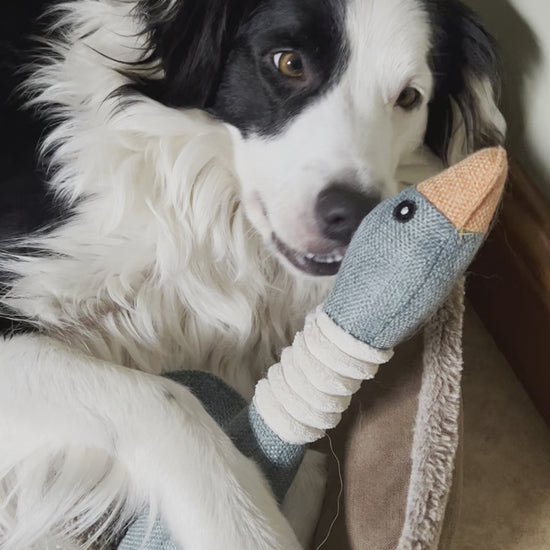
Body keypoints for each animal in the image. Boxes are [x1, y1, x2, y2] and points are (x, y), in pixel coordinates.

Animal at [0, 1, 506, 550]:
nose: (354, 216)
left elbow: (305, 469)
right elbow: (165, 399)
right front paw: (244, 526)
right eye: (289, 63)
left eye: (409, 97)